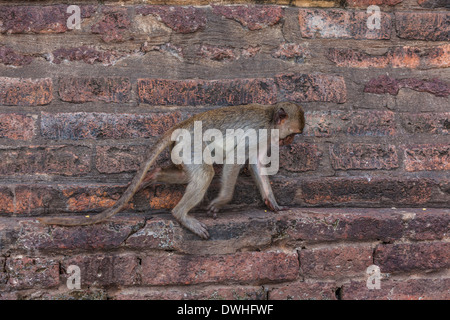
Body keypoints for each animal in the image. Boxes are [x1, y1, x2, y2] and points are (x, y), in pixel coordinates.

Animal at [39, 101, 306, 239]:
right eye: (292, 135)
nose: (290, 143)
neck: (270, 119)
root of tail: (182, 125)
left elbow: (256, 165)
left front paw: (272, 203)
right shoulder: (259, 132)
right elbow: (235, 161)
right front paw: (221, 202)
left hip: (181, 151)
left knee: (189, 173)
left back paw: (154, 175)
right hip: (191, 146)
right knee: (205, 173)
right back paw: (181, 214)